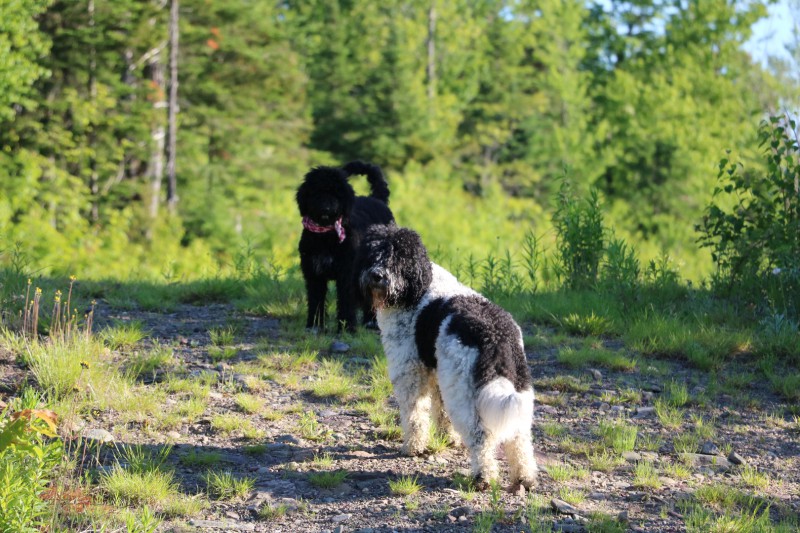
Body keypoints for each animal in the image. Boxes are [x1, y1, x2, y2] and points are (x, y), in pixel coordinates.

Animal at [296, 160, 396, 330]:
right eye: (317, 191)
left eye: (337, 193)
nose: (326, 208)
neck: (326, 235)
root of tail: (377, 199)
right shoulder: (314, 273)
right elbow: (316, 299)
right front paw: (314, 325)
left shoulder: (346, 273)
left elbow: (346, 301)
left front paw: (346, 328)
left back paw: (371, 323)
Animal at [354, 224, 536, 486]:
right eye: (372, 254)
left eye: (398, 257)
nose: (377, 275)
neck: (418, 288)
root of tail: (495, 336)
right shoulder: (438, 372)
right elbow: (440, 412)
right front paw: (447, 439)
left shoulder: (410, 370)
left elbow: (415, 414)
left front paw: (414, 447)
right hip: (513, 383)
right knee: (519, 436)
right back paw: (524, 476)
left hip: (464, 392)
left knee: (480, 435)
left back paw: (483, 476)